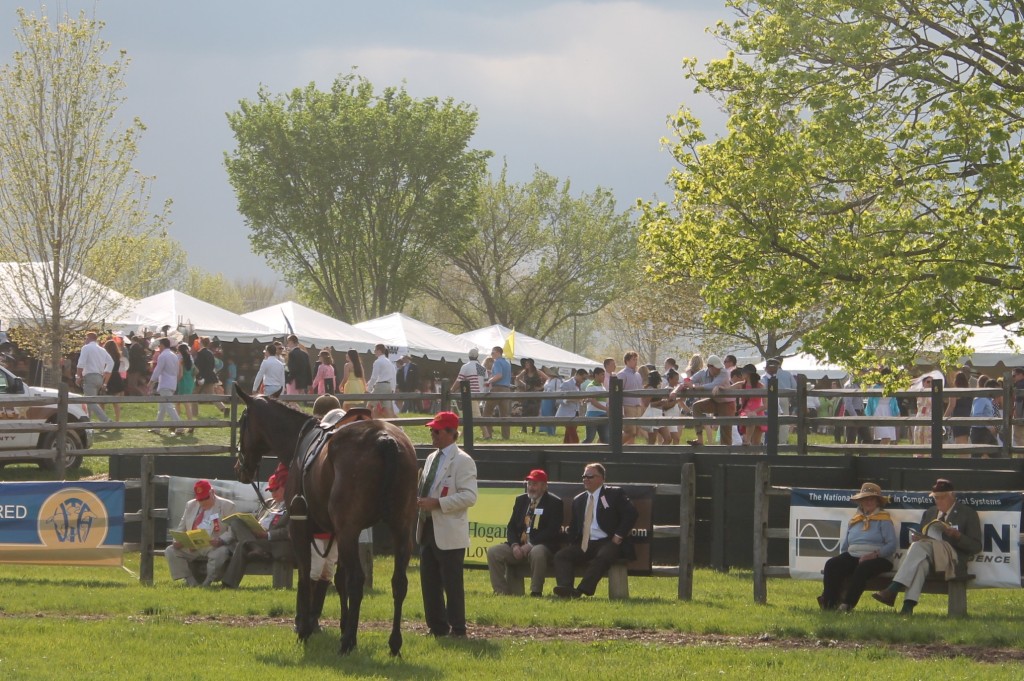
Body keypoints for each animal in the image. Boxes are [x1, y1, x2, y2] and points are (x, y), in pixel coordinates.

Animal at [234, 382, 417, 655]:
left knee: (357, 580)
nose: (239, 467)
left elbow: (306, 575)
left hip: (350, 530)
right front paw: (342, 624)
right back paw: (393, 643)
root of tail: (385, 439)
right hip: (400, 529)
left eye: (242, 421)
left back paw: (348, 642)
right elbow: (337, 579)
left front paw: (304, 628)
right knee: (398, 582)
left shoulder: (301, 528)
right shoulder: (335, 534)